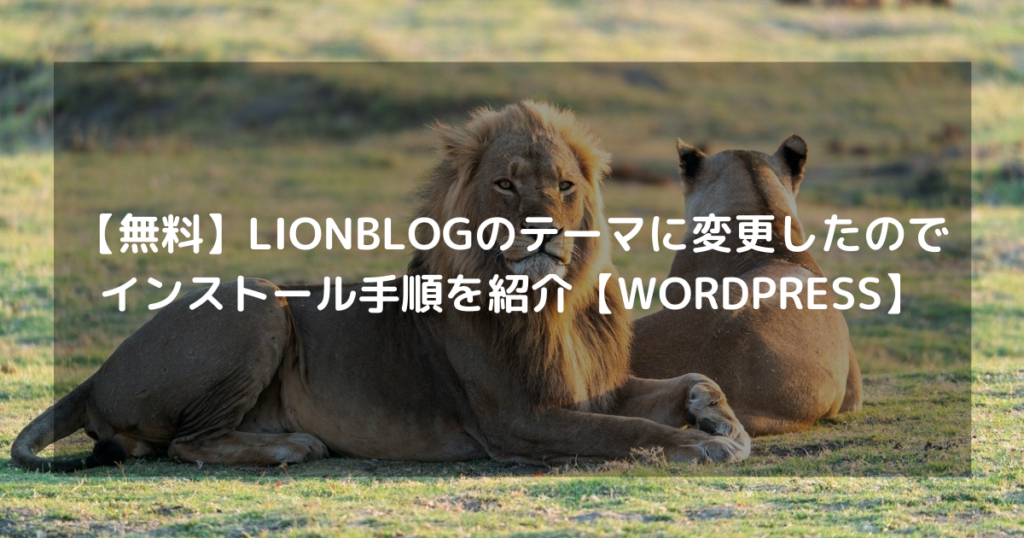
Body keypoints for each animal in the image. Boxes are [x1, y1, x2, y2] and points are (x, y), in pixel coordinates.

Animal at [13, 101, 749, 472]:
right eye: (506, 184)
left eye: (565, 186)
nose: (544, 229)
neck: (554, 304)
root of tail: (99, 370)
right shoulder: (522, 420)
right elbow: (626, 433)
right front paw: (702, 444)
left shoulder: (598, 388)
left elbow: (692, 379)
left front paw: (723, 421)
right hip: (259, 301)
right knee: (186, 445)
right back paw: (291, 445)